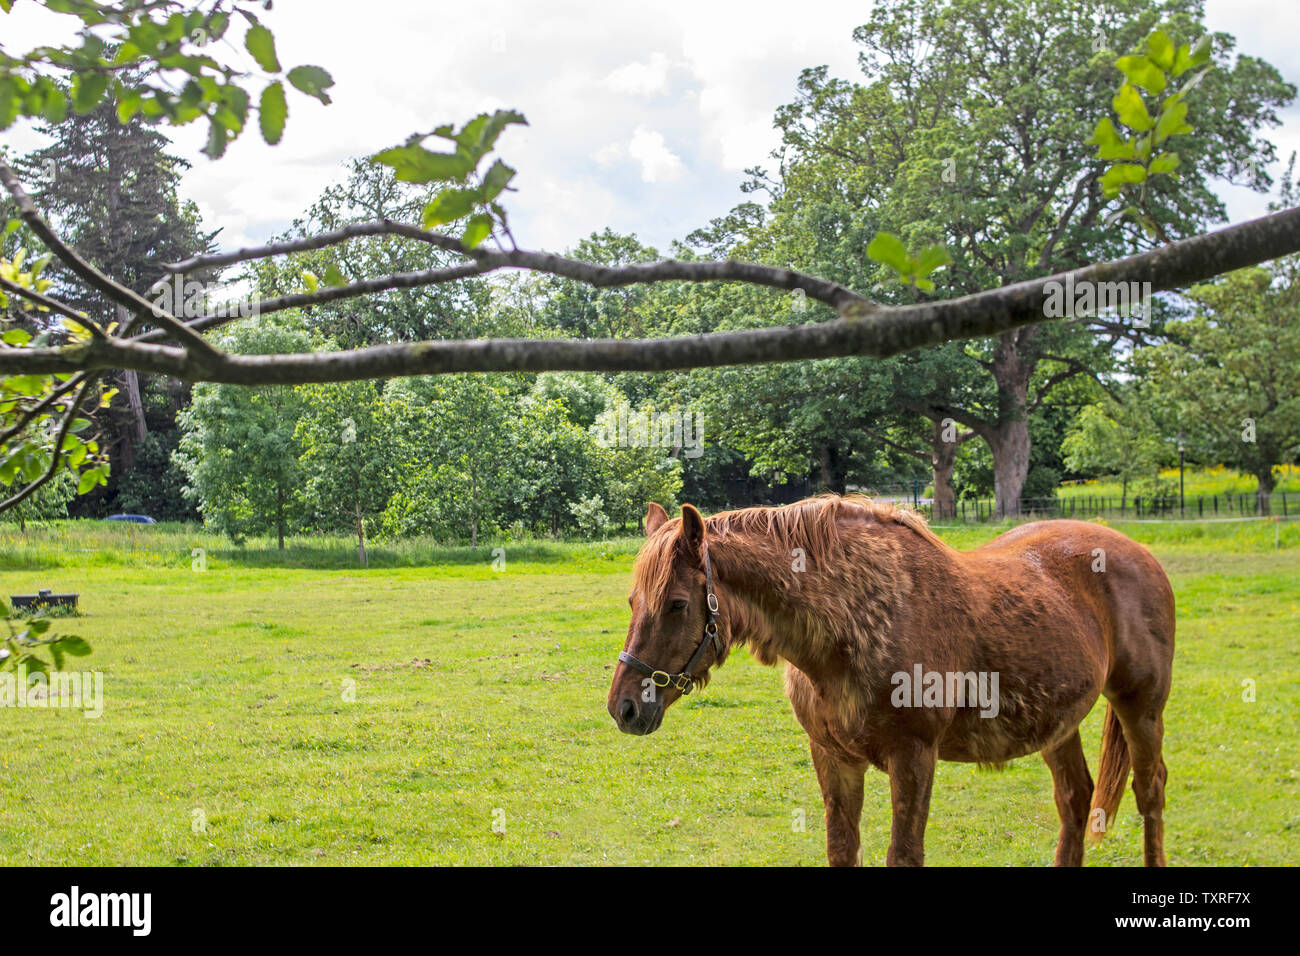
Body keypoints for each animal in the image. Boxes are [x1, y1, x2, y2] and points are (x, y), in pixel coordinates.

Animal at [608, 502, 1180, 868]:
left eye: (677, 604)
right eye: (632, 601)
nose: (624, 707)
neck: (859, 620)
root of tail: (1137, 553)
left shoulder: (914, 757)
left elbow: (903, 853)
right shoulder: (833, 757)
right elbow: (843, 848)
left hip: (1141, 707)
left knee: (1149, 790)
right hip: (1059, 723)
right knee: (1075, 798)